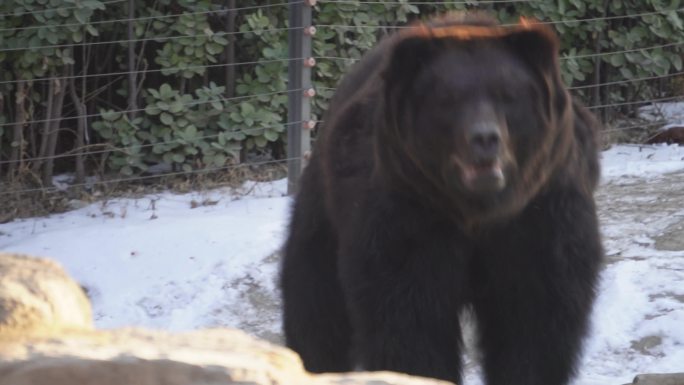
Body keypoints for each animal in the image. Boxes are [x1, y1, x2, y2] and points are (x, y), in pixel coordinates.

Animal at [280, 12, 600, 384]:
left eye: (507, 94)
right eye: (449, 98)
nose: (484, 138)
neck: (476, 211)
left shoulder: (540, 214)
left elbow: (534, 317)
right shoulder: (408, 216)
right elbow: (409, 318)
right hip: (326, 210)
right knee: (314, 299)